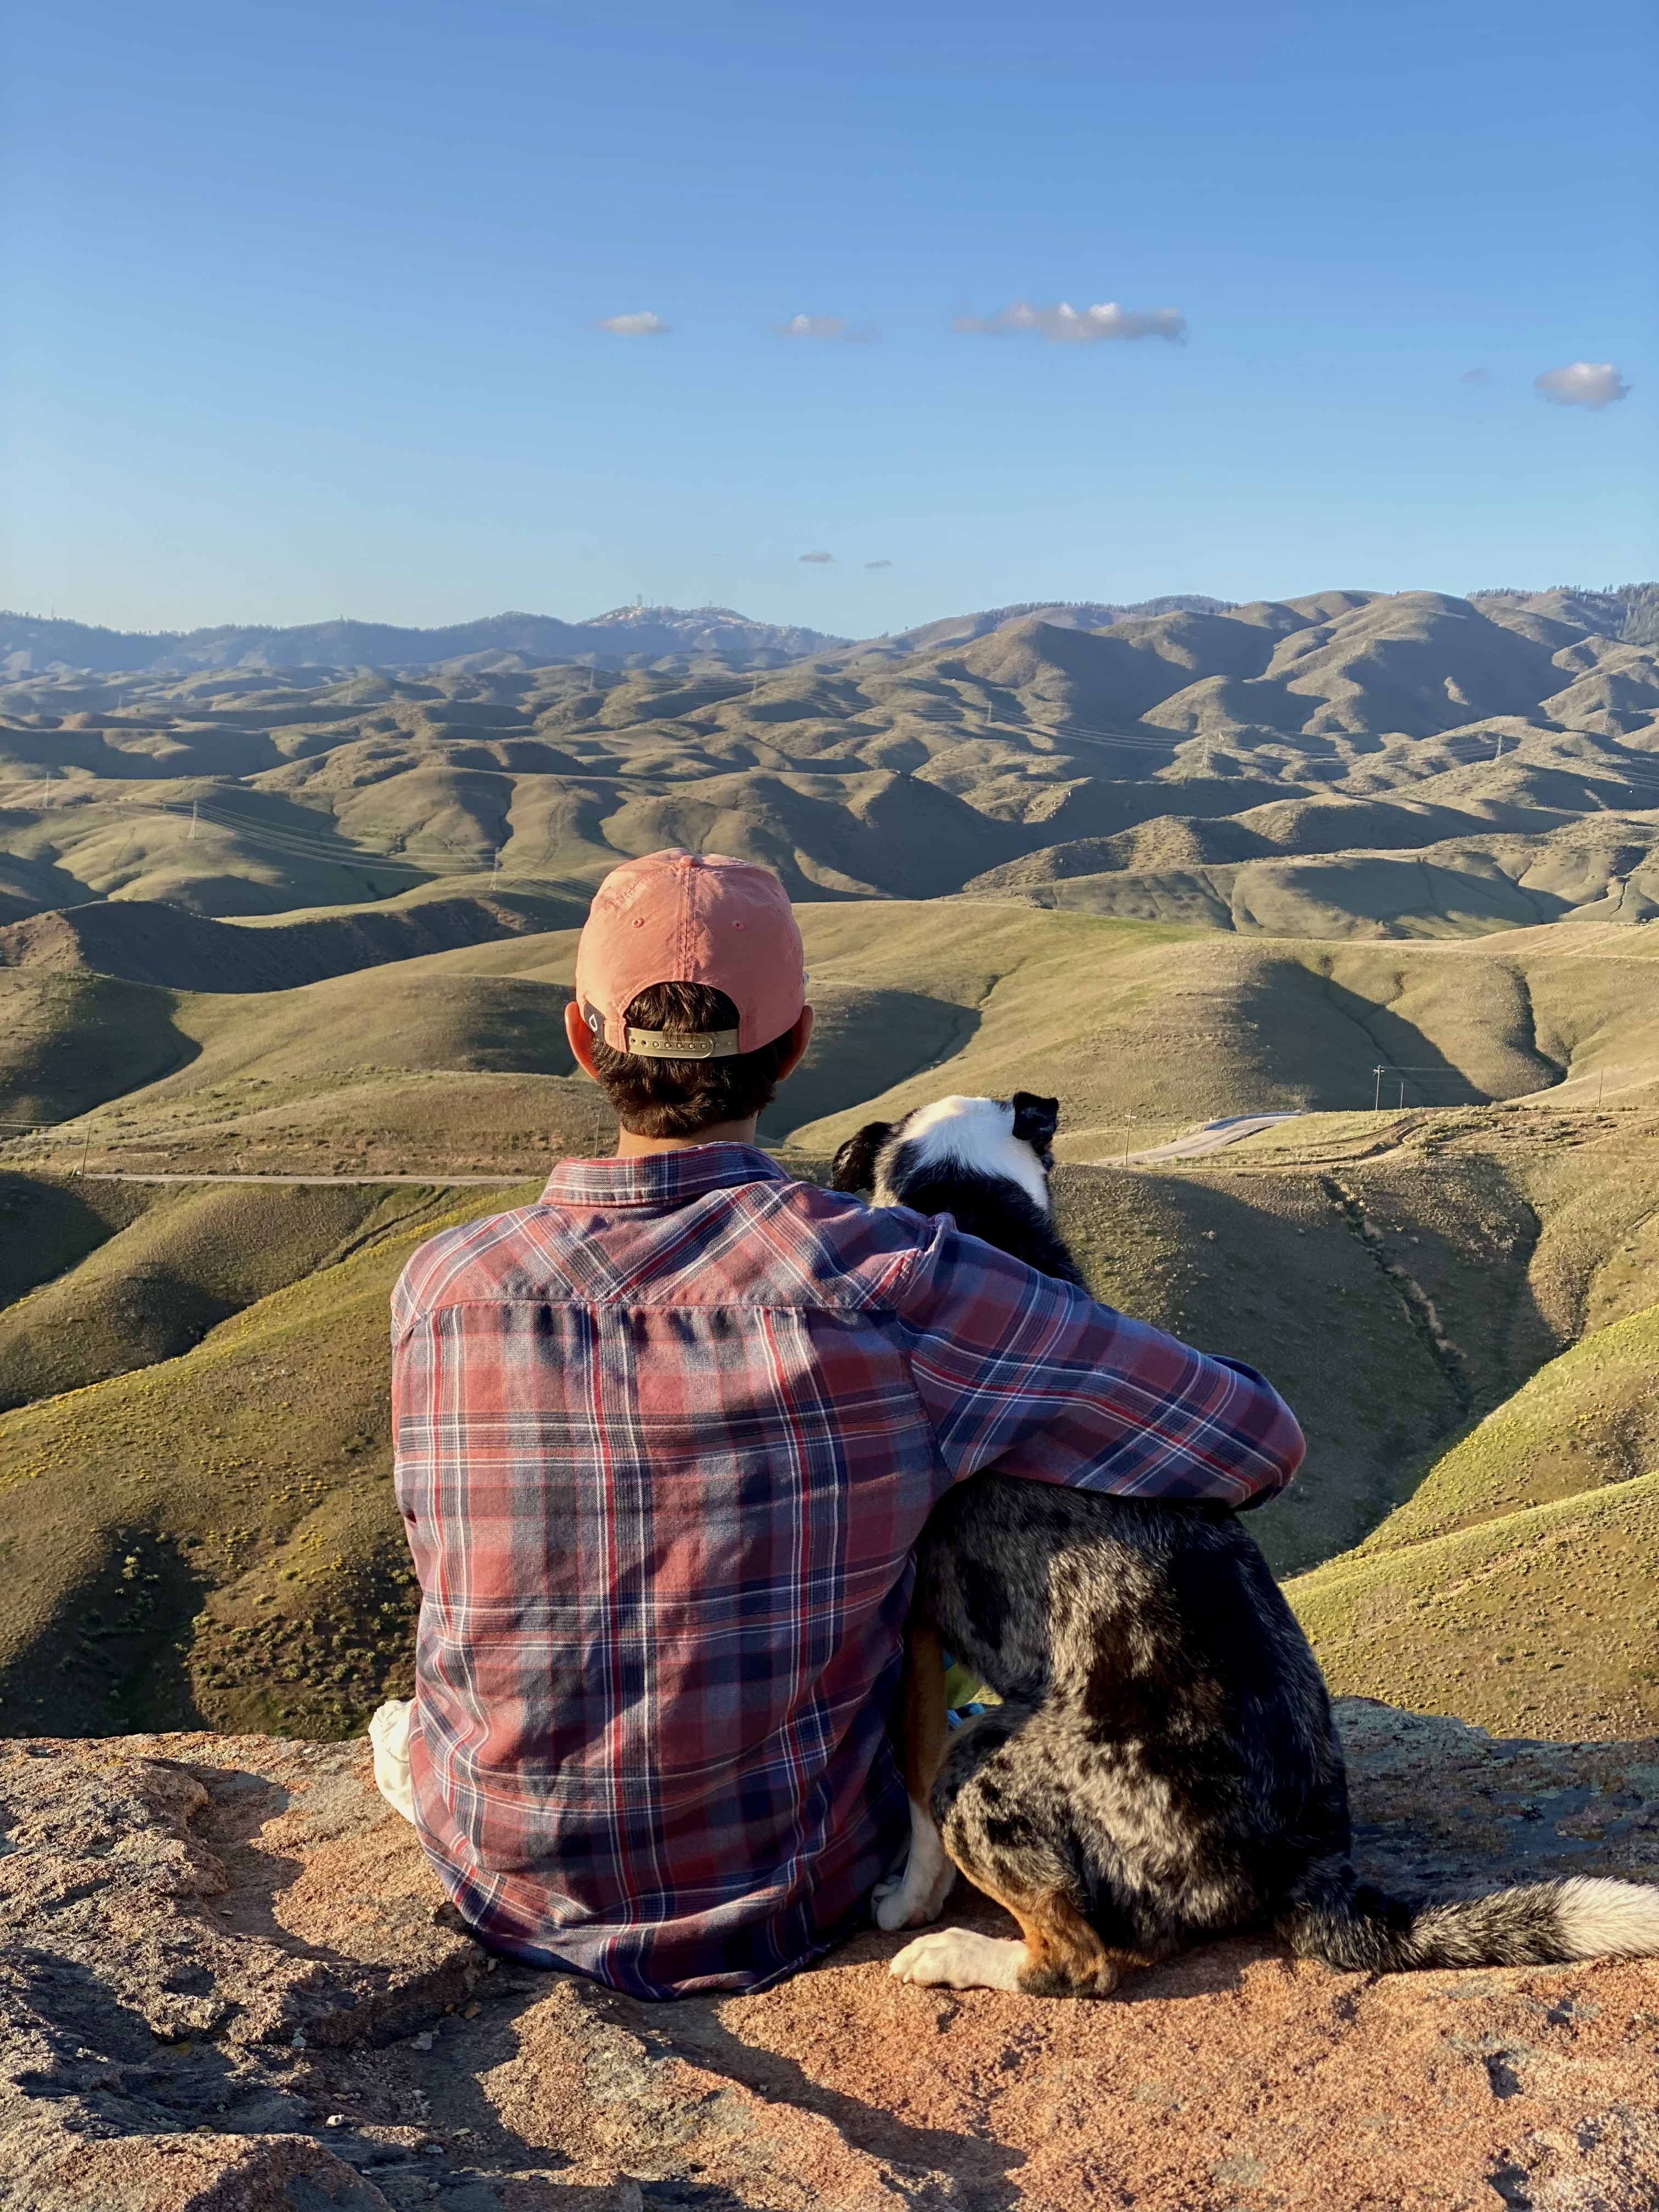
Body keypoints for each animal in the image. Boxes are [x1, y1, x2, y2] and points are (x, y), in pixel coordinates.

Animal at [836, 1097, 1659, 1999]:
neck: (973, 1207)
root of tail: (1301, 1865)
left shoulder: (913, 1628)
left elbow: (914, 1785)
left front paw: (907, 1900)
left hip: (986, 1763)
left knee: (1079, 1959)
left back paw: (953, 1953)